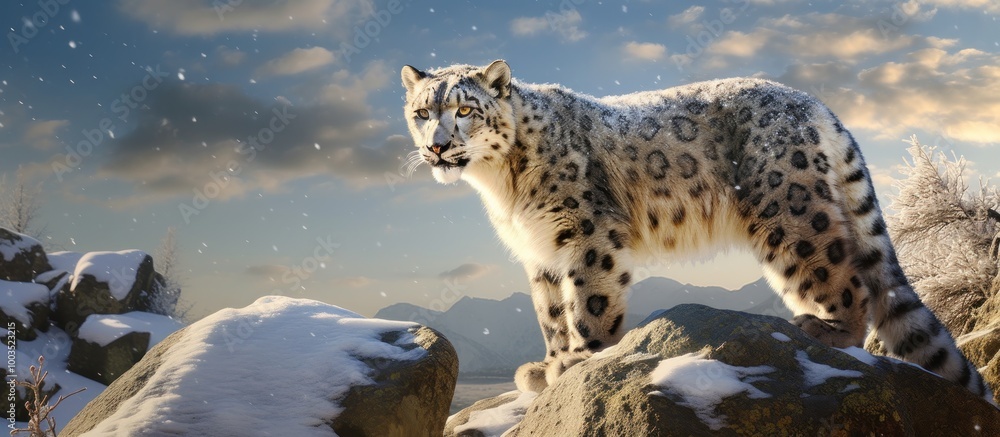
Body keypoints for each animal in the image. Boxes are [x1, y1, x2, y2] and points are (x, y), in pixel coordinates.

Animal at [400, 59, 993, 402]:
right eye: (422, 112)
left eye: (465, 110)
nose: (436, 146)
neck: (502, 185)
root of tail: (813, 103)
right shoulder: (540, 249)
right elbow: (550, 313)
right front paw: (548, 365)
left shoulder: (587, 233)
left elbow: (588, 302)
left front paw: (580, 360)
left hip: (788, 212)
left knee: (846, 277)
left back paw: (825, 331)